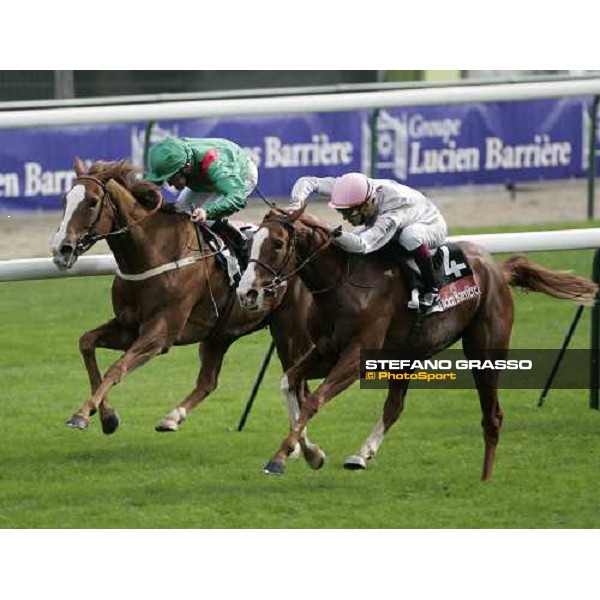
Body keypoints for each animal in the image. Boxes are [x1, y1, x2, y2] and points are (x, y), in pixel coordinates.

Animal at [49, 158, 328, 468]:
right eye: (64, 200)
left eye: (92, 202)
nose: (61, 249)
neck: (154, 249)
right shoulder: (128, 326)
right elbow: (86, 342)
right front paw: (107, 418)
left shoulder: (161, 333)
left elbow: (117, 368)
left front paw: (82, 414)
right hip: (221, 332)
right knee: (209, 381)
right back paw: (173, 417)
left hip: (290, 331)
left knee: (297, 384)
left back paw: (307, 450)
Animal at [237, 209, 596, 480]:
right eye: (250, 243)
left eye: (278, 244)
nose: (247, 292)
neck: (343, 282)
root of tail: (497, 269)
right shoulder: (326, 350)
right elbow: (289, 382)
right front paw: (311, 453)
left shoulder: (357, 356)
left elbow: (313, 400)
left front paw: (280, 458)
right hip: (405, 356)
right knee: (394, 406)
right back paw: (361, 455)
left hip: (485, 351)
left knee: (492, 414)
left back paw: (486, 478)